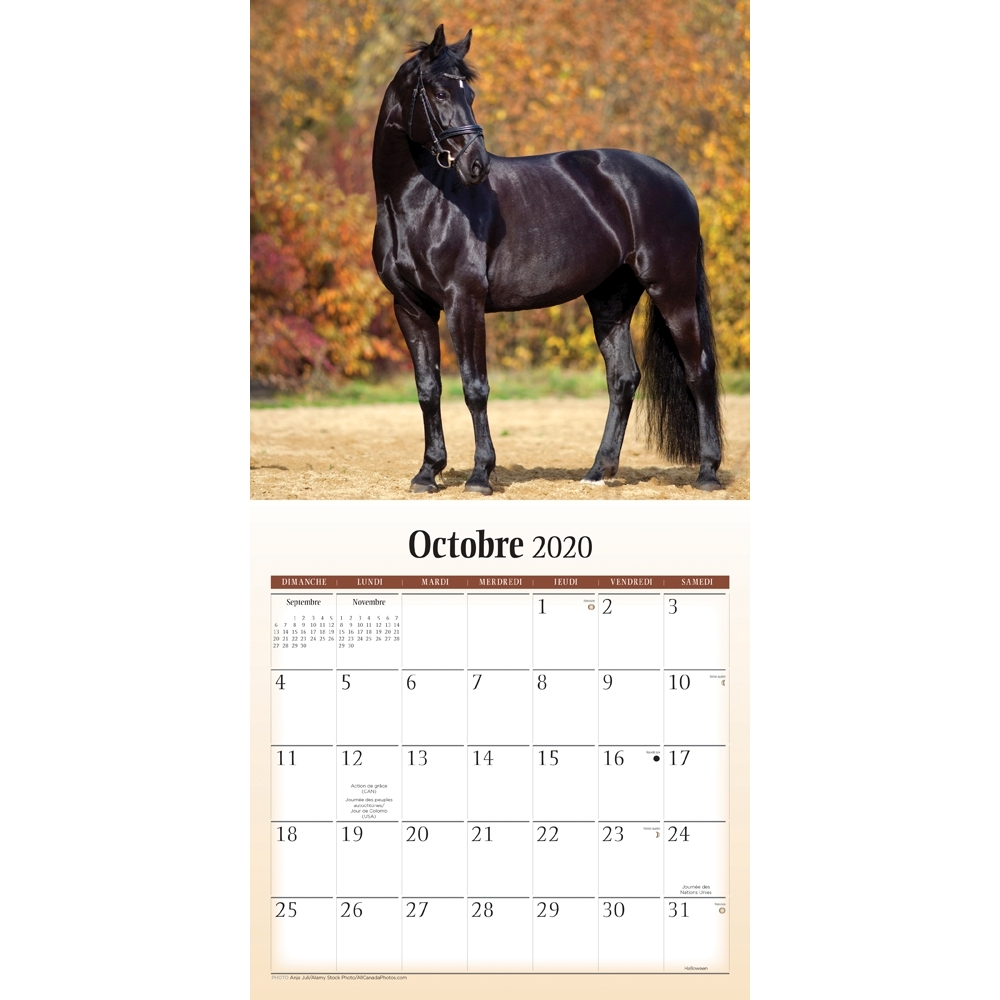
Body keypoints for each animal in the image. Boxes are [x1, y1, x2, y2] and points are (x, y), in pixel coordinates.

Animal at [371, 25, 723, 494]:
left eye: (470, 93)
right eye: (439, 92)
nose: (477, 165)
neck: (419, 202)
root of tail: (676, 182)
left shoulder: (464, 302)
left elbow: (475, 388)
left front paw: (480, 475)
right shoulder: (411, 307)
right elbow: (428, 389)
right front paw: (428, 473)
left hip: (673, 290)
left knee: (697, 370)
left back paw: (707, 473)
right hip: (610, 300)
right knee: (623, 379)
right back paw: (598, 471)